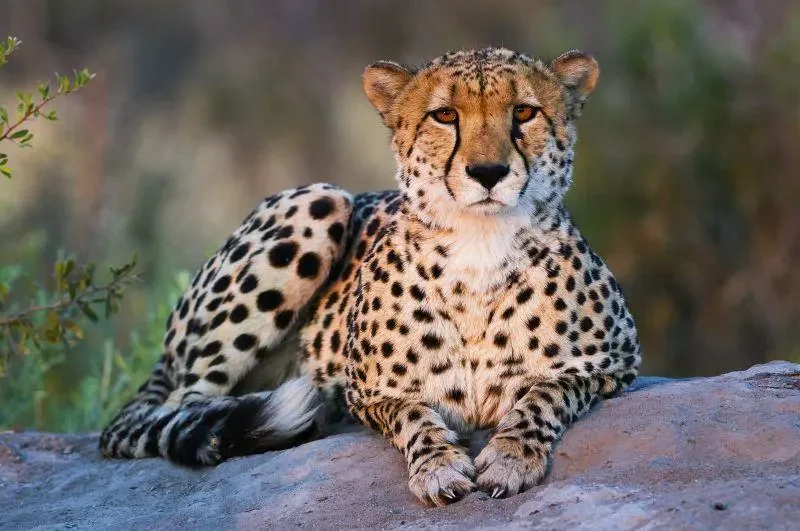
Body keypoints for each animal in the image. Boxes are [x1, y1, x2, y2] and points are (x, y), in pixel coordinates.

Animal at [100, 47, 641, 507]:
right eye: (445, 115)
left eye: (524, 113)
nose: (488, 172)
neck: (480, 246)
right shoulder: (369, 392)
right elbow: (413, 415)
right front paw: (438, 466)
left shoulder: (617, 365)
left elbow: (547, 393)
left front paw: (511, 456)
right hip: (318, 199)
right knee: (181, 409)